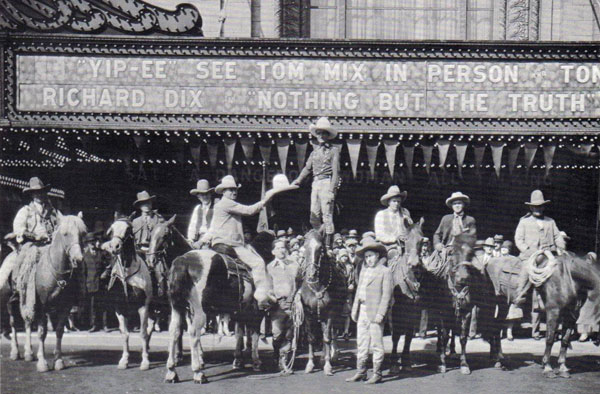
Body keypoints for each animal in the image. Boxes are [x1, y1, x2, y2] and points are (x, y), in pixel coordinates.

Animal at [1, 214, 86, 370]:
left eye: (83, 233)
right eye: (65, 234)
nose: (78, 258)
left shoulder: (65, 307)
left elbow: (59, 330)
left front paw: (58, 360)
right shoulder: (41, 306)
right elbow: (42, 332)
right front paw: (42, 362)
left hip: (26, 299)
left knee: (27, 322)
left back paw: (28, 353)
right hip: (11, 301)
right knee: (13, 323)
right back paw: (15, 352)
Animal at [102, 214, 152, 370]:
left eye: (128, 229)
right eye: (111, 229)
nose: (114, 247)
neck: (127, 273)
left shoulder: (143, 306)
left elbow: (142, 333)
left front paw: (145, 361)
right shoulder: (120, 308)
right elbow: (125, 334)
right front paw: (124, 360)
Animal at [165, 231, 276, 382]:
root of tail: (183, 261)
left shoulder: (239, 312)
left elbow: (239, 335)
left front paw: (238, 361)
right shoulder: (256, 313)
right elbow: (254, 336)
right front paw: (256, 362)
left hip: (178, 307)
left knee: (174, 331)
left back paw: (171, 371)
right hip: (200, 311)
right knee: (193, 333)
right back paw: (198, 372)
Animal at [296, 228, 344, 376]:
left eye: (321, 248)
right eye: (305, 247)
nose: (311, 274)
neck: (316, 286)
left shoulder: (330, 313)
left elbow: (327, 337)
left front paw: (328, 365)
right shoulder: (307, 313)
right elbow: (311, 338)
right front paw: (310, 364)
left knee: (331, 333)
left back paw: (330, 356)